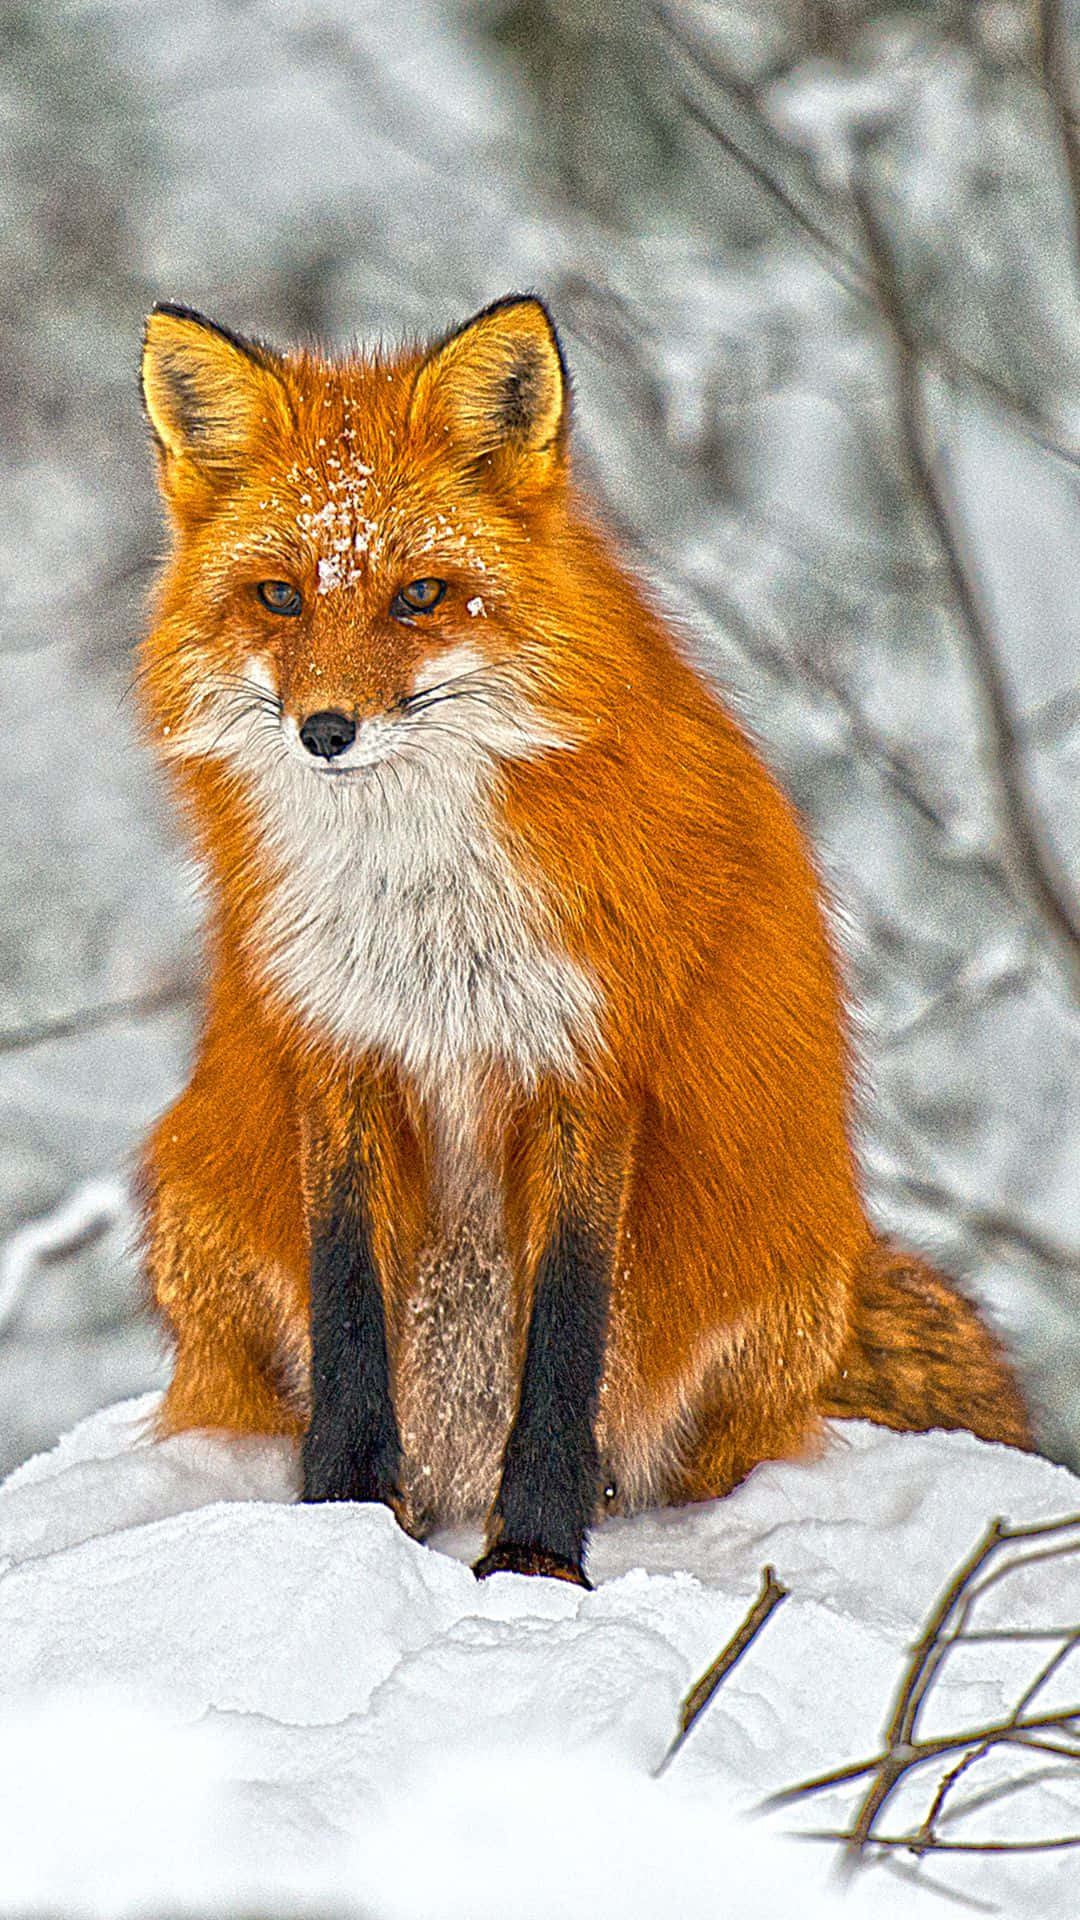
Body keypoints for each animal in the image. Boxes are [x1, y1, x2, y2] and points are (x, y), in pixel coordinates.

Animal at [136, 294, 1031, 1587]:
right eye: (281, 597)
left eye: (420, 596)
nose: (325, 731)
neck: (423, 907)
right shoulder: (341, 1055)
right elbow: (352, 1323)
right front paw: (345, 1519)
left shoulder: (589, 1069)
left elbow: (565, 1346)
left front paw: (537, 1558)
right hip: (191, 1193)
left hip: (777, 1269)